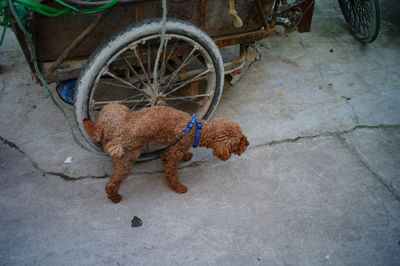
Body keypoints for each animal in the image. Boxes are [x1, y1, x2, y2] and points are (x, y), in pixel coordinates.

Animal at [83, 103, 248, 203]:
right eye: (238, 140)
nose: (248, 144)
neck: (197, 129)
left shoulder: (177, 145)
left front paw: (187, 156)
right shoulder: (172, 153)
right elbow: (171, 173)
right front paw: (179, 188)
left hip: (116, 109)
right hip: (128, 159)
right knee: (112, 183)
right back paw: (115, 197)